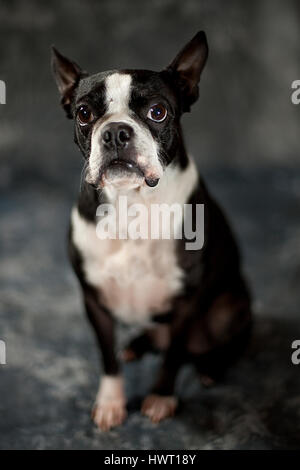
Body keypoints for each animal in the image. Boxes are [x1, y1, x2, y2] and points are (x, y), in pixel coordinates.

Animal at [52, 32, 252, 430]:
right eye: (84, 114)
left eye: (157, 112)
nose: (115, 132)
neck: (132, 203)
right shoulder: (94, 300)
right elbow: (107, 357)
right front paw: (111, 402)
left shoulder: (187, 300)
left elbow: (173, 355)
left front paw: (161, 397)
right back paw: (135, 346)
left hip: (229, 306)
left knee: (225, 341)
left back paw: (211, 367)